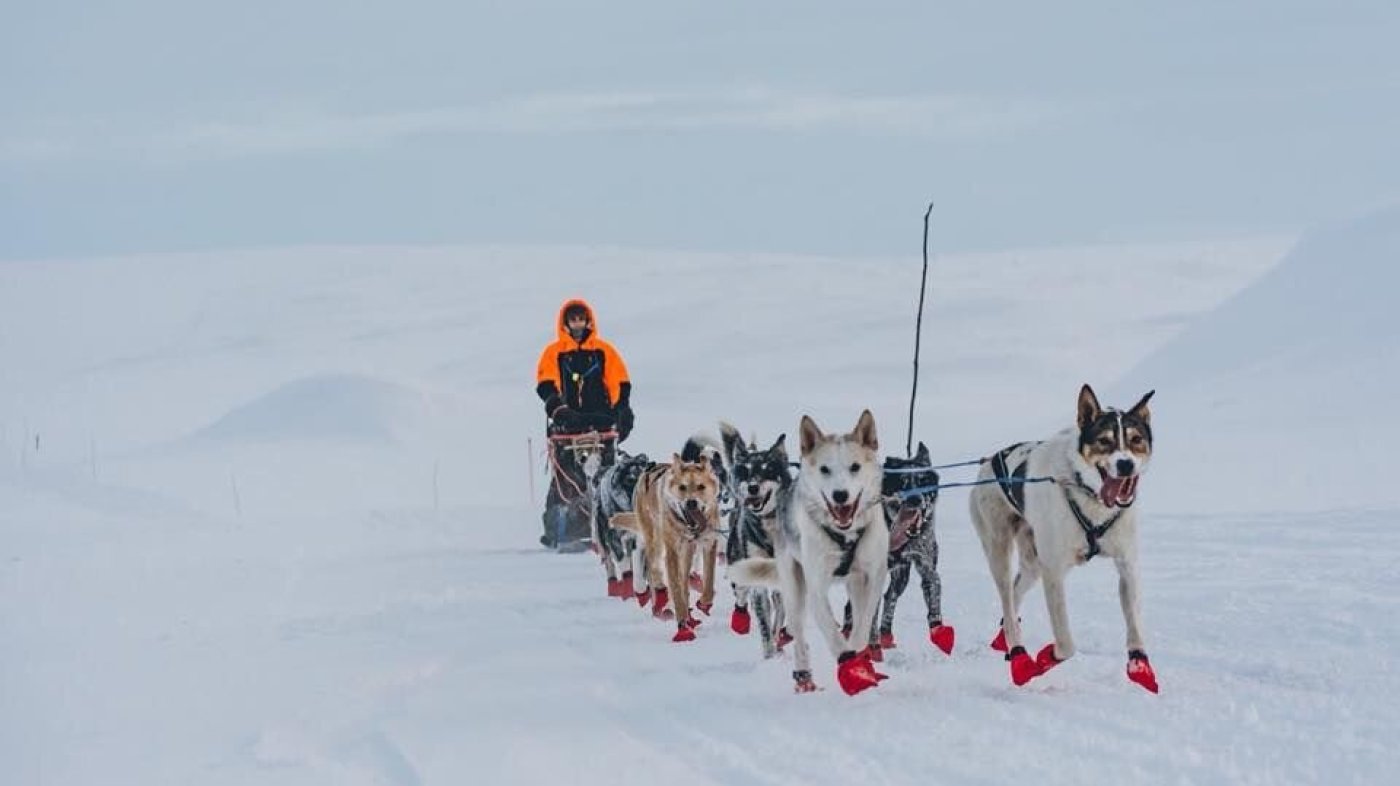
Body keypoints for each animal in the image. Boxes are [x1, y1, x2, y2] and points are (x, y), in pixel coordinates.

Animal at [716, 423, 795, 655]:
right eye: (746, 472)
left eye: (768, 471)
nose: (752, 487)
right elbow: (764, 624)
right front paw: (769, 654)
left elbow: (779, 617)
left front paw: (778, 642)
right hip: (739, 566)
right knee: (742, 597)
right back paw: (740, 620)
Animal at [974, 383, 1159, 689]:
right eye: (1105, 441)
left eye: (1136, 440)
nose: (1126, 465)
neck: (1090, 496)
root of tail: (988, 463)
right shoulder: (1054, 572)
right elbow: (1066, 645)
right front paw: (1045, 657)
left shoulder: (1127, 565)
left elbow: (1135, 625)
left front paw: (1139, 664)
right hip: (1000, 551)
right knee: (1007, 602)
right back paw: (1019, 655)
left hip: (1032, 563)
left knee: (1015, 592)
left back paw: (1004, 641)